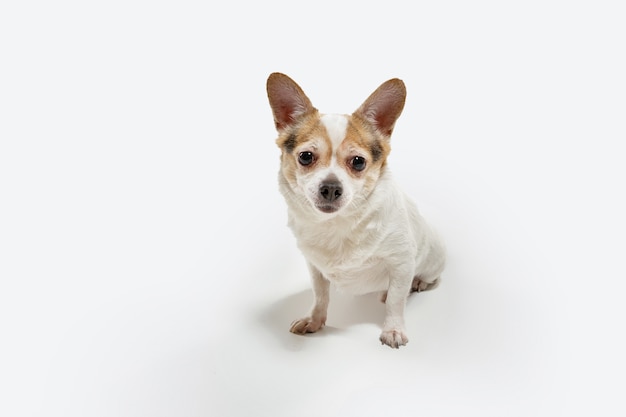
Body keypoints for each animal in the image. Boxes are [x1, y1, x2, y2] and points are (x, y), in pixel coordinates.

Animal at [264, 72, 444, 348]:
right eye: (305, 157)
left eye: (358, 162)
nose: (330, 187)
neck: (338, 224)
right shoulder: (315, 267)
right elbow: (320, 295)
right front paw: (314, 320)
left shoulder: (402, 262)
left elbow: (396, 301)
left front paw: (393, 329)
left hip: (433, 259)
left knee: (425, 279)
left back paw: (418, 282)